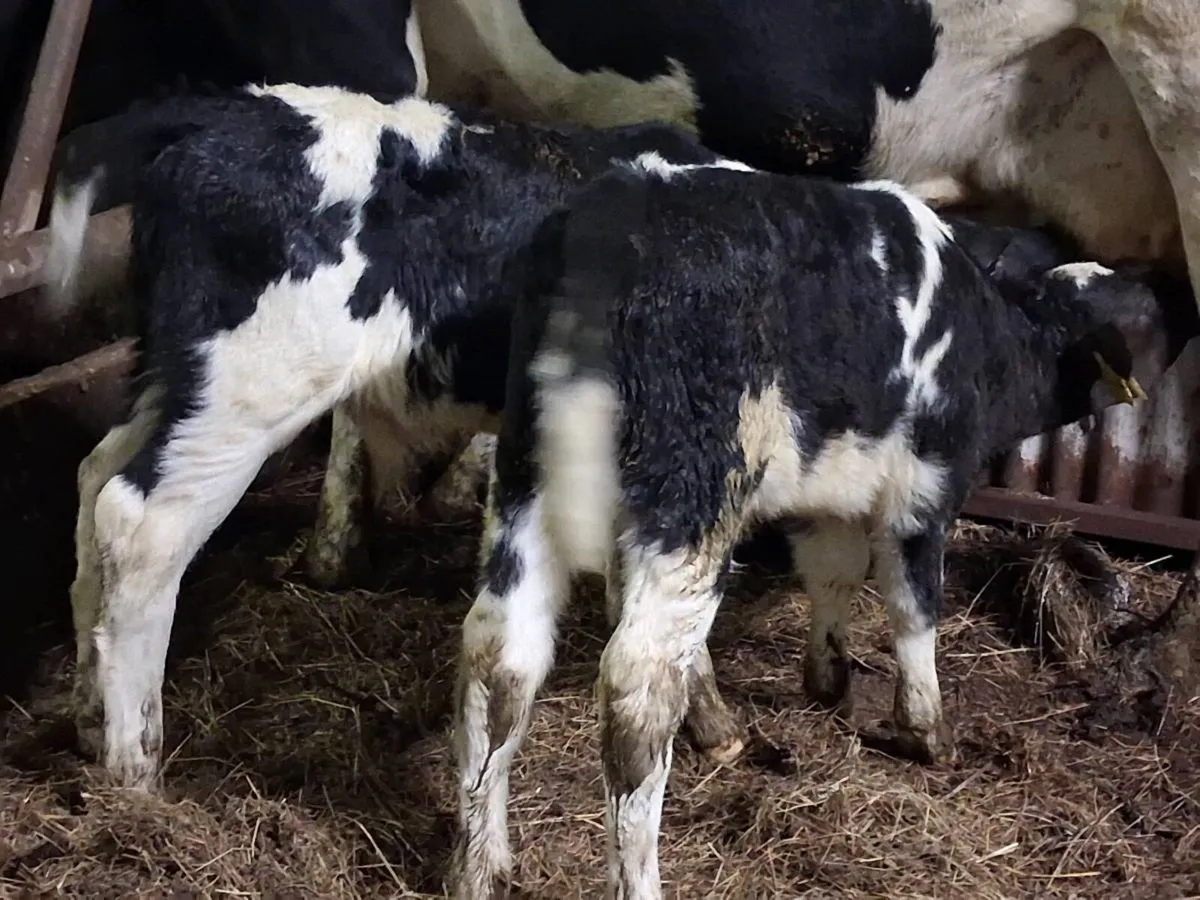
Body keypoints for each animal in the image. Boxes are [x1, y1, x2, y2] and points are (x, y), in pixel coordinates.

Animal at [452, 154, 1199, 899]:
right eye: (1142, 315)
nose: (1180, 297)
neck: (991, 343)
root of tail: (615, 216)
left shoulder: (830, 489)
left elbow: (833, 572)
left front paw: (827, 677)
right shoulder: (925, 485)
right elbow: (913, 606)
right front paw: (926, 731)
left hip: (524, 477)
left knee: (500, 659)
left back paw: (480, 867)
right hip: (694, 489)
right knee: (637, 695)